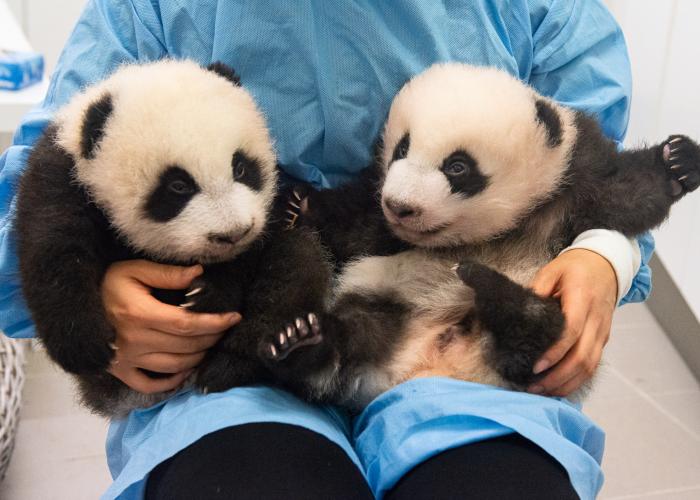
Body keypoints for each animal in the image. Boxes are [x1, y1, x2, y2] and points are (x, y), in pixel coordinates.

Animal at [16, 59, 332, 417]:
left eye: (241, 168)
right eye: (178, 186)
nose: (233, 234)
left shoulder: (261, 222)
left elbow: (253, 254)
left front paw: (210, 292)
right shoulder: (61, 176)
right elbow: (53, 246)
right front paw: (82, 343)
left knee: (294, 268)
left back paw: (241, 362)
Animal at [267, 62, 700, 409]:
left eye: (457, 167)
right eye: (401, 150)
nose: (400, 206)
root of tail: (433, 364)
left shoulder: (570, 179)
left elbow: (625, 196)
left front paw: (677, 161)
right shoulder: (381, 215)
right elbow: (356, 229)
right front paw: (297, 207)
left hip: (548, 338)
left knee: (541, 334)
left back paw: (490, 286)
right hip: (383, 303)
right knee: (343, 349)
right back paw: (303, 342)